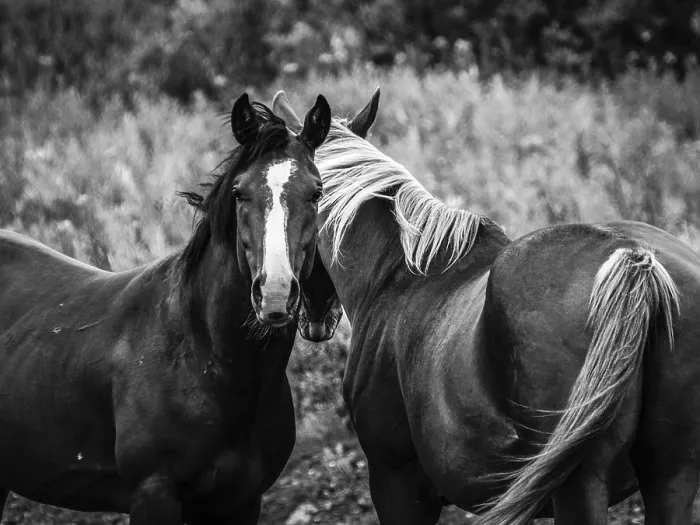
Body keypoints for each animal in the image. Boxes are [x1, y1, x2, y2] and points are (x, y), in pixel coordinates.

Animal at [0, 92, 340, 525]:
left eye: (315, 193)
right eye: (239, 193)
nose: (276, 295)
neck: (203, 355)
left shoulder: (243, 500)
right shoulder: (153, 495)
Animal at [272, 89, 700, 525]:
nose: (310, 318)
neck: (398, 275)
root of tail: (635, 257)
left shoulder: (397, 483)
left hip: (581, 484)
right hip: (671, 475)